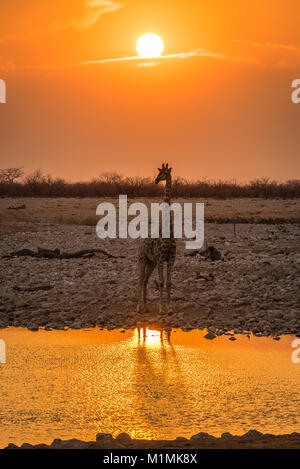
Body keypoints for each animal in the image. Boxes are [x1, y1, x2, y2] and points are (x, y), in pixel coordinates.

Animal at [136, 163, 176, 312]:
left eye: (165, 173)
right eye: (159, 172)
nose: (156, 180)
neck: (168, 233)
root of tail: (141, 243)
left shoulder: (171, 259)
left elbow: (168, 282)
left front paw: (169, 308)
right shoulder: (160, 259)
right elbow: (161, 282)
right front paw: (161, 309)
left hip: (150, 262)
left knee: (145, 280)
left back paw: (146, 307)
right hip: (142, 259)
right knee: (140, 280)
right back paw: (138, 307)